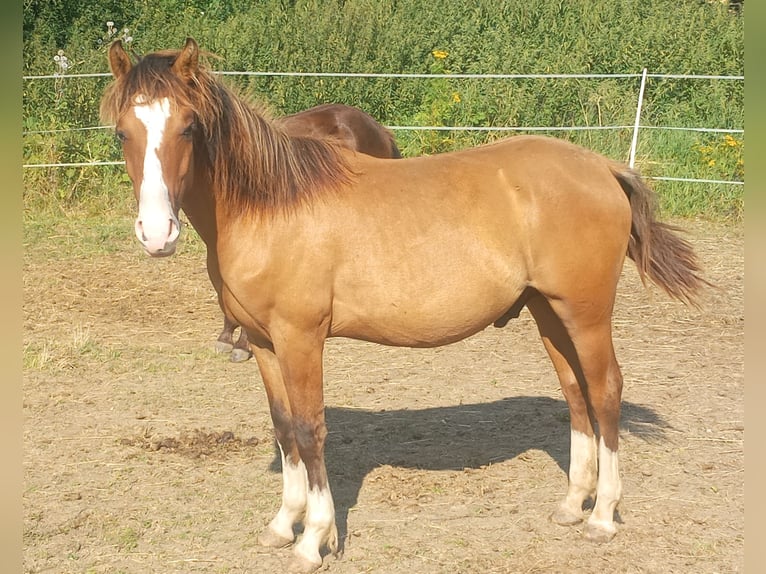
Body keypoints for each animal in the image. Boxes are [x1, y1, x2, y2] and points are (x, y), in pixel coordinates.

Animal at [103, 38, 712, 572]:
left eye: (188, 126)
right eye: (121, 133)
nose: (156, 234)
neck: (271, 206)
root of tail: (601, 167)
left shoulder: (300, 338)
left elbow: (309, 428)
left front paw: (314, 540)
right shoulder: (262, 343)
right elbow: (283, 427)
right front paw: (282, 524)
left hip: (585, 313)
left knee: (605, 391)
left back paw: (603, 516)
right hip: (548, 312)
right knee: (575, 392)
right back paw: (570, 505)